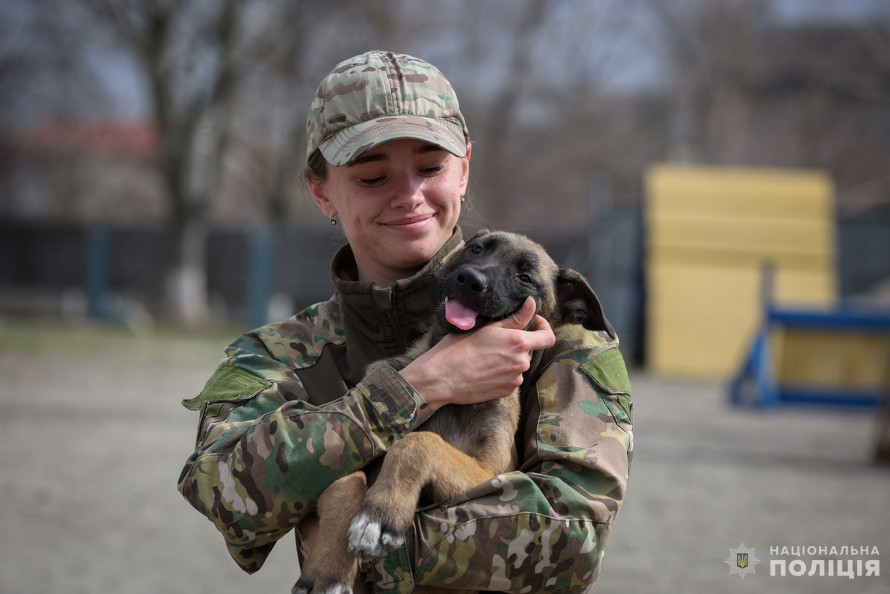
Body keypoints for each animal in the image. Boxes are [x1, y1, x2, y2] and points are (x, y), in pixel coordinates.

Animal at [294, 229, 612, 588]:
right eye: (476, 249)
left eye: (525, 278)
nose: (470, 279)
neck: (456, 396)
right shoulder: (363, 445)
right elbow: (344, 481)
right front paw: (327, 572)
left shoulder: (494, 477)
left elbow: (420, 443)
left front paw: (380, 514)